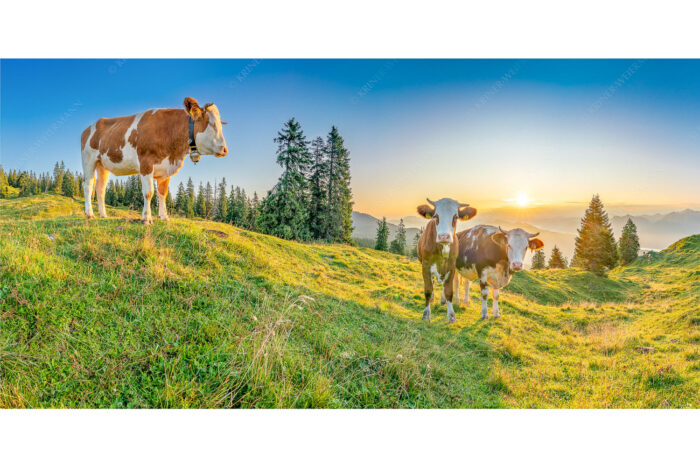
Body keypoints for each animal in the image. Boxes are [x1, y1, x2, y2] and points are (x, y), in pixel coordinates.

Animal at [80, 96, 227, 224]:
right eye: (211, 123)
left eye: (221, 124)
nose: (225, 150)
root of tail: (89, 127)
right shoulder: (146, 164)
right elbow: (149, 193)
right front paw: (146, 218)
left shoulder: (165, 170)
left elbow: (163, 194)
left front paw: (164, 217)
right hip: (88, 160)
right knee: (88, 185)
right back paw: (89, 214)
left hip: (103, 165)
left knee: (100, 188)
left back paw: (103, 214)